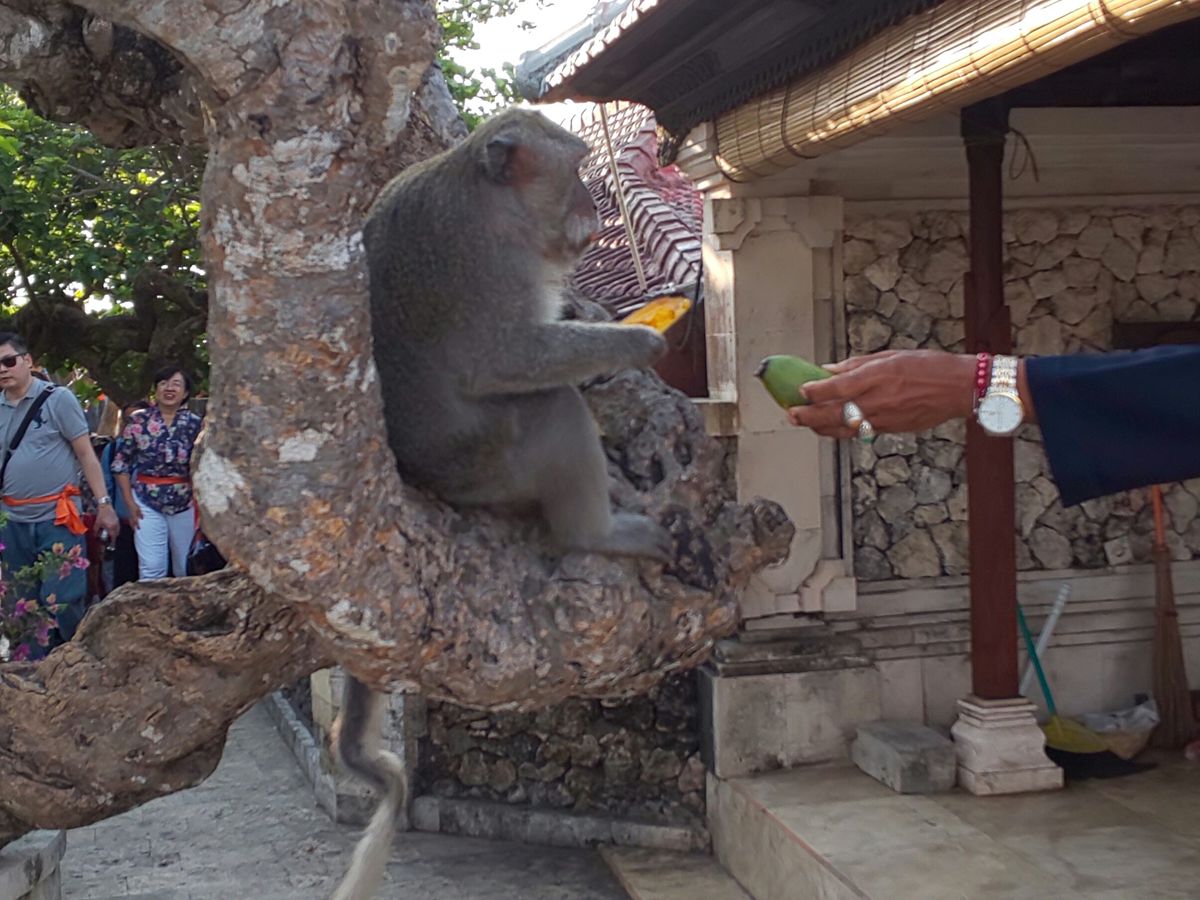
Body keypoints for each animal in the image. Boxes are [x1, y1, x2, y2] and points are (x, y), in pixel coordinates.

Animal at [330, 108, 675, 900]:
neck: (493, 198)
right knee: (552, 406)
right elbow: (507, 359)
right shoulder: (488, 263)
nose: (592, 205)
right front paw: (637, 339)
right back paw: (595, 530)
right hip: (489, 465)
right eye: (574, 168)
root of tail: (416, 478)